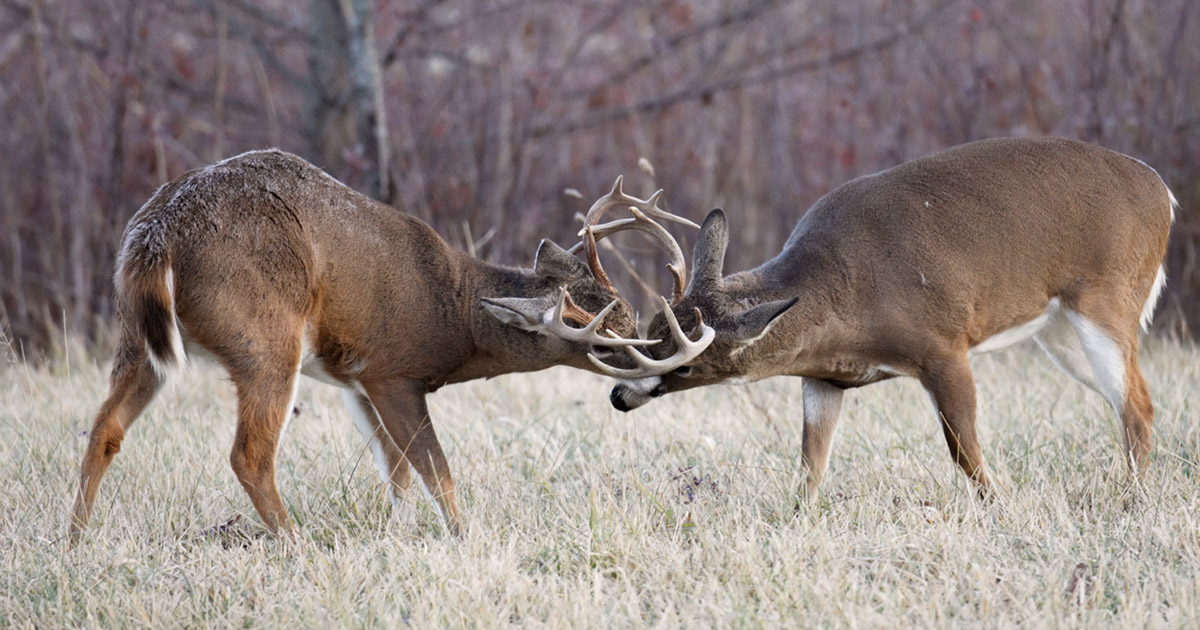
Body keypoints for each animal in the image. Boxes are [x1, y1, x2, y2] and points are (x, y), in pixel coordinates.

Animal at [68, 150, 700, 537]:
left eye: (627, 317)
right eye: (606, 343)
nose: (652, 379)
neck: (453, 314)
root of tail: (157, 237)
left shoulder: (353, 378)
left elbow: (396, 473)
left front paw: (395, 536)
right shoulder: (393, 371)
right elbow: (435, 470)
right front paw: (463, 539)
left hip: (137, 338)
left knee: (105, 429)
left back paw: (74, 542)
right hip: (265, 338)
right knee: (249, 454)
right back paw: (296, 545)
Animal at [578, 137, 1171, 501]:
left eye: (684, 364)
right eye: (654, 330)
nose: (619, 395)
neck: (850, 296)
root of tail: (1162, 192)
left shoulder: (944, 345)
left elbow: (964, 451)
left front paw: (1005, 507)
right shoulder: (824, 378)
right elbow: (810, 464)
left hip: (1106, 298)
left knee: (1138, 404)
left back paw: (1130, 500)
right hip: (1059, 330)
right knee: (1127, 403)